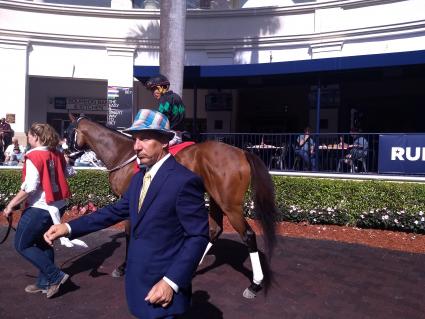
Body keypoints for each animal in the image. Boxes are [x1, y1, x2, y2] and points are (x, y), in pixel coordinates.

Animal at [66, 115, 278, 300]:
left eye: (68, 132)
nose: (66, 155)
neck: (123, 153)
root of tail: (242, 152)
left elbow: (128, 233)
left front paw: (123, 267)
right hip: (216, 199)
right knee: (215, 229)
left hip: (230, 205)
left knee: (248, 235)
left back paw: (254, 284)